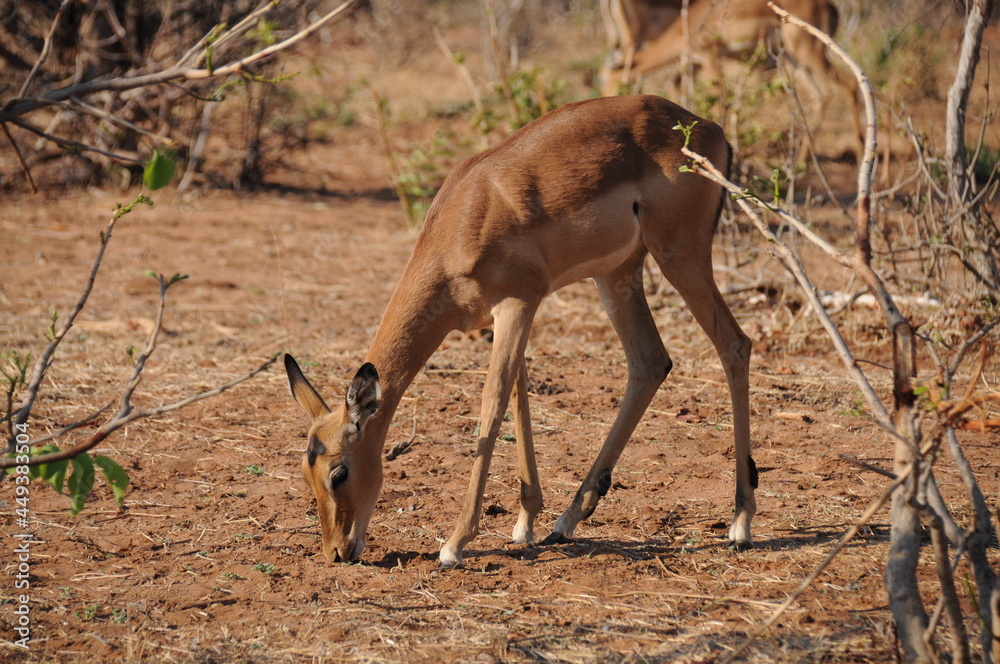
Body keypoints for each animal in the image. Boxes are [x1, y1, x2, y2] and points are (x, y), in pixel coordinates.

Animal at [285, 94, 757, 568]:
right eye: (306, 472)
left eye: (338, 473)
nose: (337, 552)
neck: (465, 216)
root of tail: (706, 126)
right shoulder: (501, 317)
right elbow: (518, 391)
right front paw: (526, 520)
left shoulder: (518, 303)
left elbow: (493, 402)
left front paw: (455, 542)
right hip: (617, 273)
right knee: (650, 362)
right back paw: (567, 520)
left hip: (679, 255)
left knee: (735, 344)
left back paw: (740, 523)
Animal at [600, 0, 862, 156]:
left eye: (611, 85)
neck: (686, 27)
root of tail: (830, 6)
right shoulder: (693, 64)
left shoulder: (710, 57)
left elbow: (721, 102)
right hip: (796, 59)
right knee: (823, 95)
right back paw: (802, 162)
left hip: (810, 52)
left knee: (849, 85)